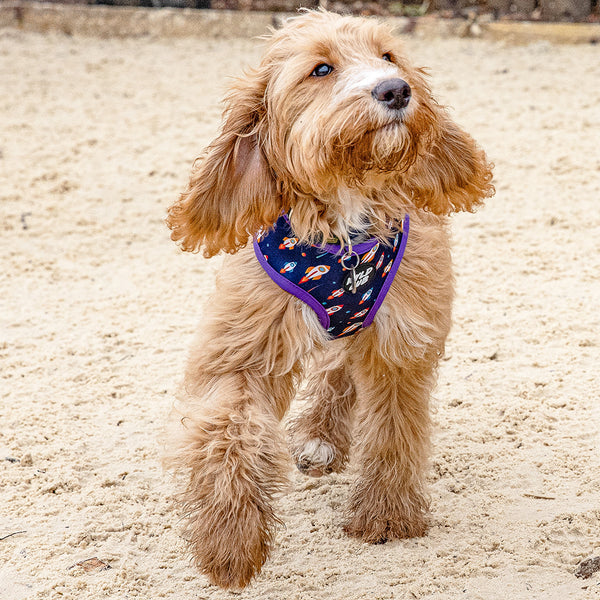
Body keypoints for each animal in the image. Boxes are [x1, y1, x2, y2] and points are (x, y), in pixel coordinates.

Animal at [164, 9, 492, 592]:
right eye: (321, 69)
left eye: (388, 56)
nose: (396, 89)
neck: (346, 205)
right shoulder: (243, 347)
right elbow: (229, 431)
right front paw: (230, 542)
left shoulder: (401, 339)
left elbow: (393, 429)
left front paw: (387, 515)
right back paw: (318, 438)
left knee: (342, 367)